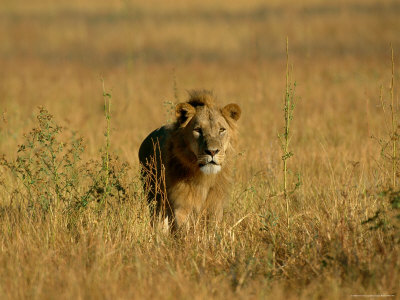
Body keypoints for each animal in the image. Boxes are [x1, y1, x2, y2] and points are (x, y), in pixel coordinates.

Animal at [139, 90, 242, 231]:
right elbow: (184, 230)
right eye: (198, 130)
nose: (212, 151)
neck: (205, 177)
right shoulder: (181, 205)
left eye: (221, 130)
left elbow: (213, 229)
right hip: (154, 196)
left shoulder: (216, 205)